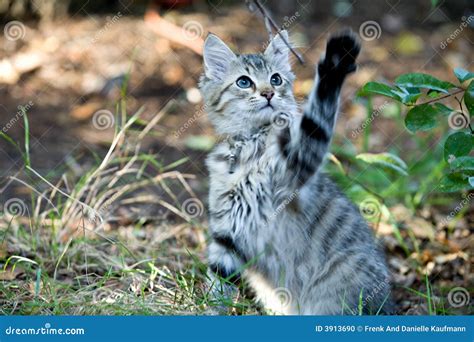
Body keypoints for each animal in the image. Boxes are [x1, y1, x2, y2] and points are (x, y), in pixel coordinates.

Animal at [198, 30, 390, 316]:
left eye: (275, 79)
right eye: (244, 82)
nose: (268, 93)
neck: (250, 148)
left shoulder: (299, 165)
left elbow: (317, 117)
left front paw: (335, 64)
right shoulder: (227, 231)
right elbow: (218, 282)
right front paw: (210, 311)